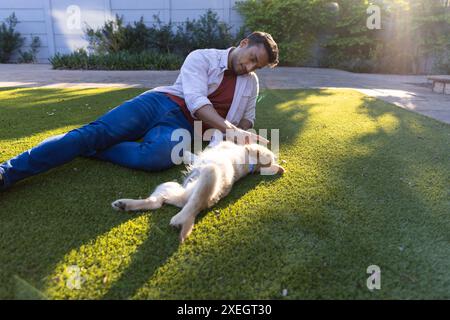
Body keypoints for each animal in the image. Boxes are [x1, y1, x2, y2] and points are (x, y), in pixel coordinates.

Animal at [110, 141, 284, 242]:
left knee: (194, 203)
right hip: (168, 186)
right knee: (157, 202)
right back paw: (124, 204)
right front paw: (187, 154)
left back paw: (179, 219)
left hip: (209, 174)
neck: (251, 163)